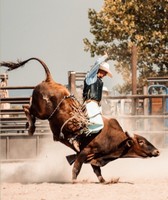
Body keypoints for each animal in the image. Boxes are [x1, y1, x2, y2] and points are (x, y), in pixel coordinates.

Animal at [0, 57, 160, 183]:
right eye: (141, 141)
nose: (157, 151)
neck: (111, 137)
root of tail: (50, 80)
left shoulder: (94, 157)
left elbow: (97, 171)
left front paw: (105, 181)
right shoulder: (84, 152)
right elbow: (76, 168)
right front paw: (74, 181)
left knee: (27, 107)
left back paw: (30, 126)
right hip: (42, 111)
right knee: (27, 107)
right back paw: (31, 128)